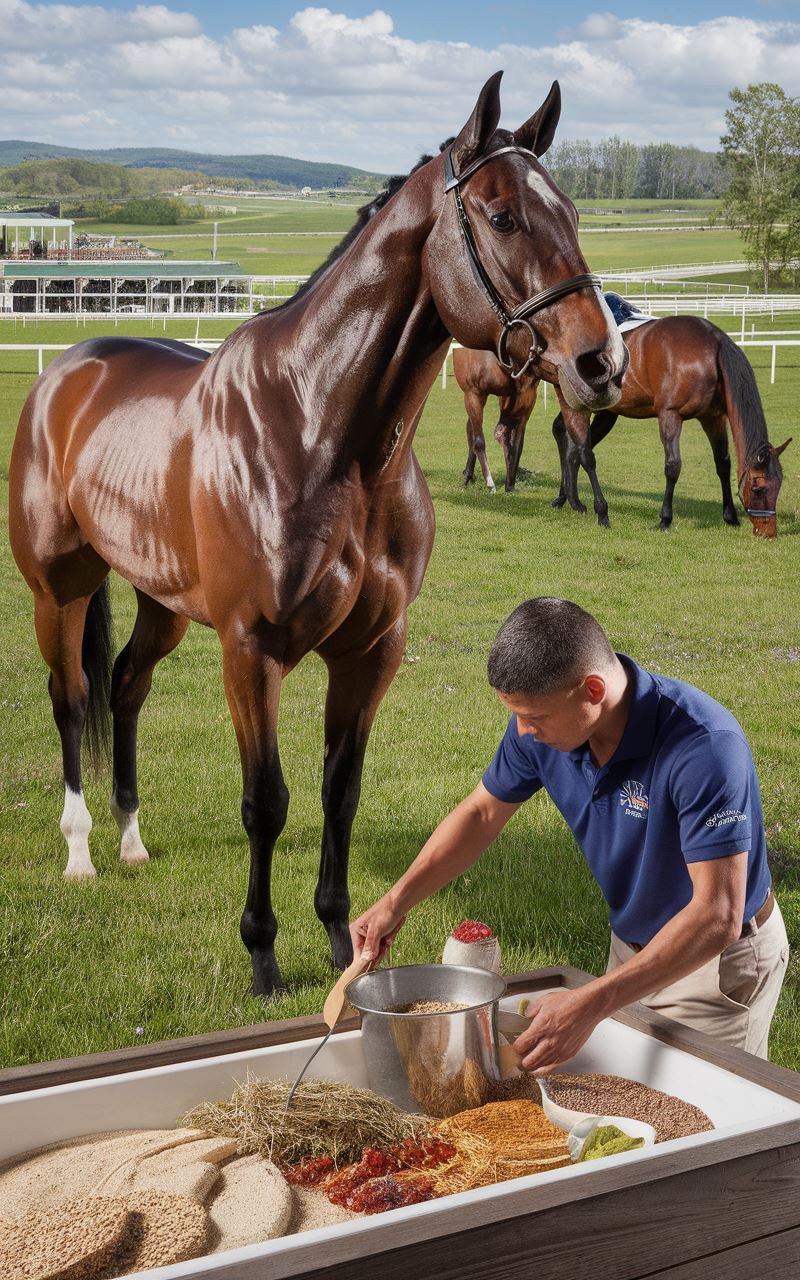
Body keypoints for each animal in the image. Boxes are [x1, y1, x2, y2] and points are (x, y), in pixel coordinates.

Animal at [453, 343, 540, 491]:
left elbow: (516, 444)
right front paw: (490, 483)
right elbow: (479, 441)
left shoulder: (525, 396)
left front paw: (510, 485)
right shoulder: (473, 393)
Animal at [552, 314, 788, 535]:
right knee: (568, 438)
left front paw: (730, 516)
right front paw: (665, 519)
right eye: (759, 489)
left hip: (605, 414)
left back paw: (569, 498)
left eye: (779, 485)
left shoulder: (713, 418)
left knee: (573, 446)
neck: (708, 351)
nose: (768, 531)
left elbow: (723, 463)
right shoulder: (670, 415)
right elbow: (673, 466)